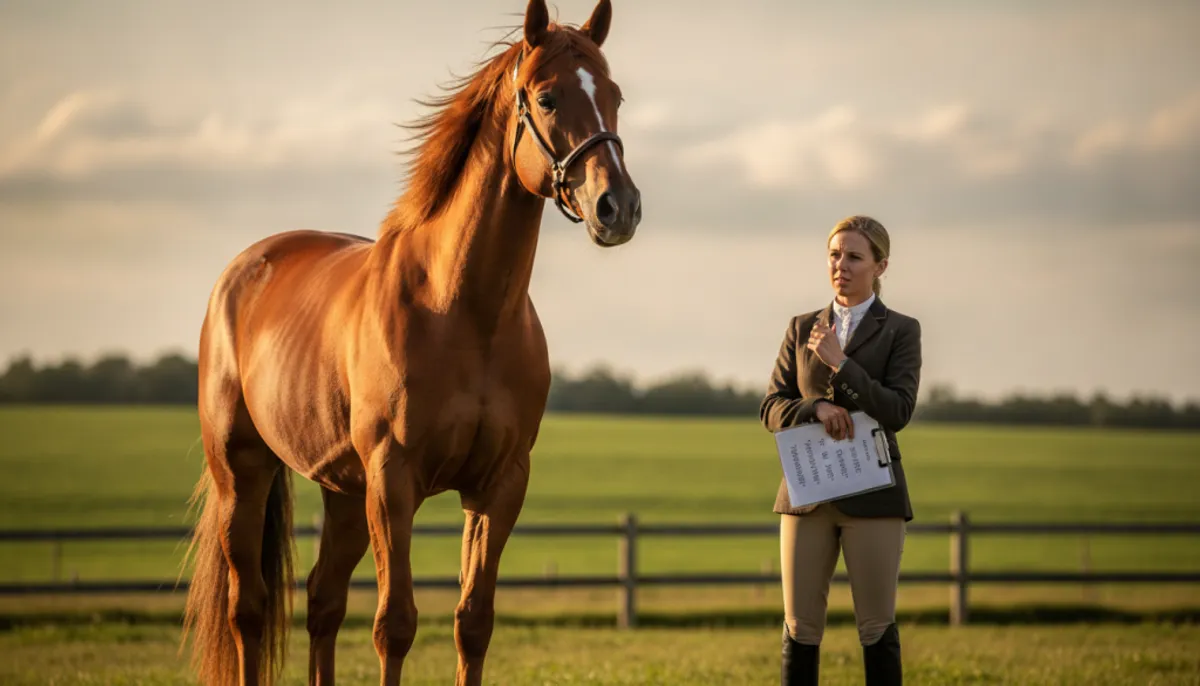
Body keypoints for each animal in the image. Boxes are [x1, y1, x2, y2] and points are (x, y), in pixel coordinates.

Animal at [179, 1, 640, 684]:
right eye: (547, 97)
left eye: (614, 95)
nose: (619, 207)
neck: (465, 313)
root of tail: (244, 269)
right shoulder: (393, 481)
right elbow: (394, 624)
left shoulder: (499, 484)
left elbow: (473, 623)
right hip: (244, 470)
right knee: (249, 608)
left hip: (343, 491)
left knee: (321, 600)